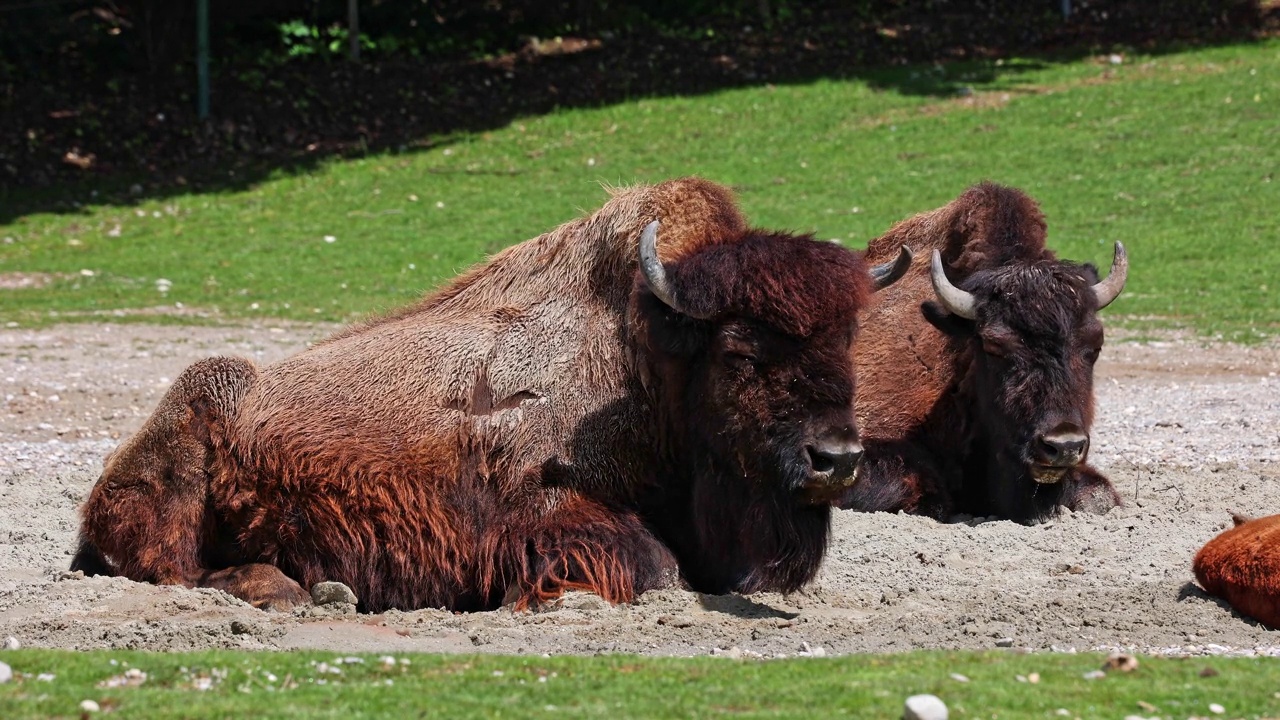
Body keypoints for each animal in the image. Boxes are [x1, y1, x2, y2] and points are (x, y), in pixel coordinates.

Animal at [70, 178, 911, 609]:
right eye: (739, 351)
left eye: (847, 340)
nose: (835, 459)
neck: (651, 359)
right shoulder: (534, 510)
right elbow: (650, 565)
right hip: (198, 408)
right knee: (174, 566)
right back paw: (297, 592)